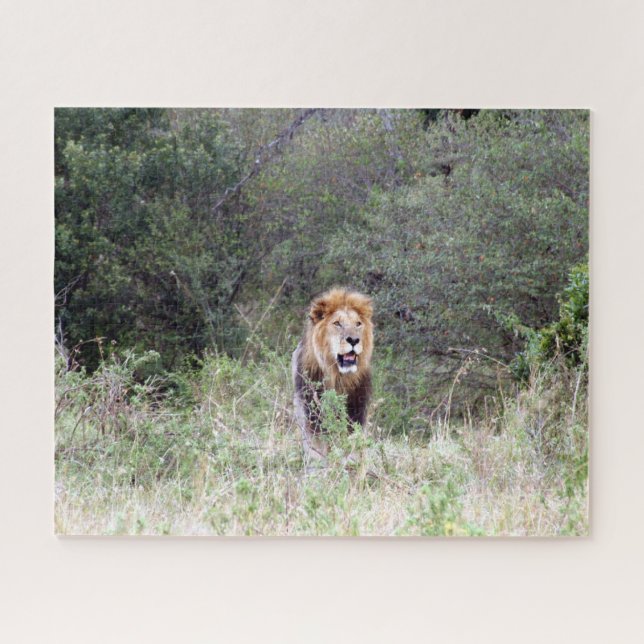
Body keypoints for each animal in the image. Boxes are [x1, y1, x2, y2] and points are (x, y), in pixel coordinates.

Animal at [292, 288, 374, 465]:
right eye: (337, 323)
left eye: (358, 324)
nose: (354, 340)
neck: (339, 378)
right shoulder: (312, 415)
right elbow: (317, 446)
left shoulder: (356, 413)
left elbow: (352, 445)